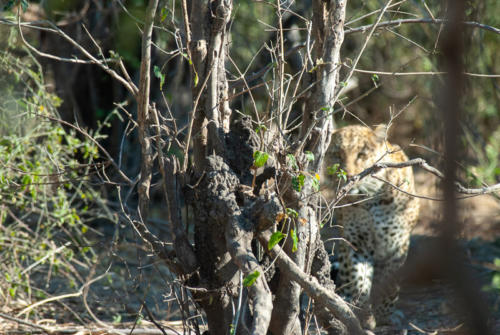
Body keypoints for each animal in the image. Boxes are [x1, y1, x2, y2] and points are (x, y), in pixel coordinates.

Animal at [320, 124, 418, 330]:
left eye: (362, 154)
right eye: (337, 154)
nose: (349, 176)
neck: (370, 201)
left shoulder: (396, 246)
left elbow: (389, 284)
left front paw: (384, 316)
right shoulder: (357, 243)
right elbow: (358, 280)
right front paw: (363, 316)